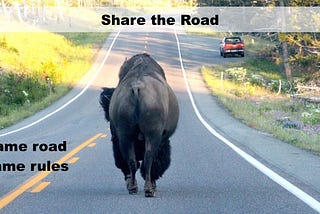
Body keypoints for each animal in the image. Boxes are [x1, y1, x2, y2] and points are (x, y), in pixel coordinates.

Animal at [99, 52, 179, 196]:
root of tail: (136, 88)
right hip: (152, 136)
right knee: (148, 160)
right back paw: (149, 189)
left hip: (125, 136)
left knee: (132, 161)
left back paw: (133, 188)